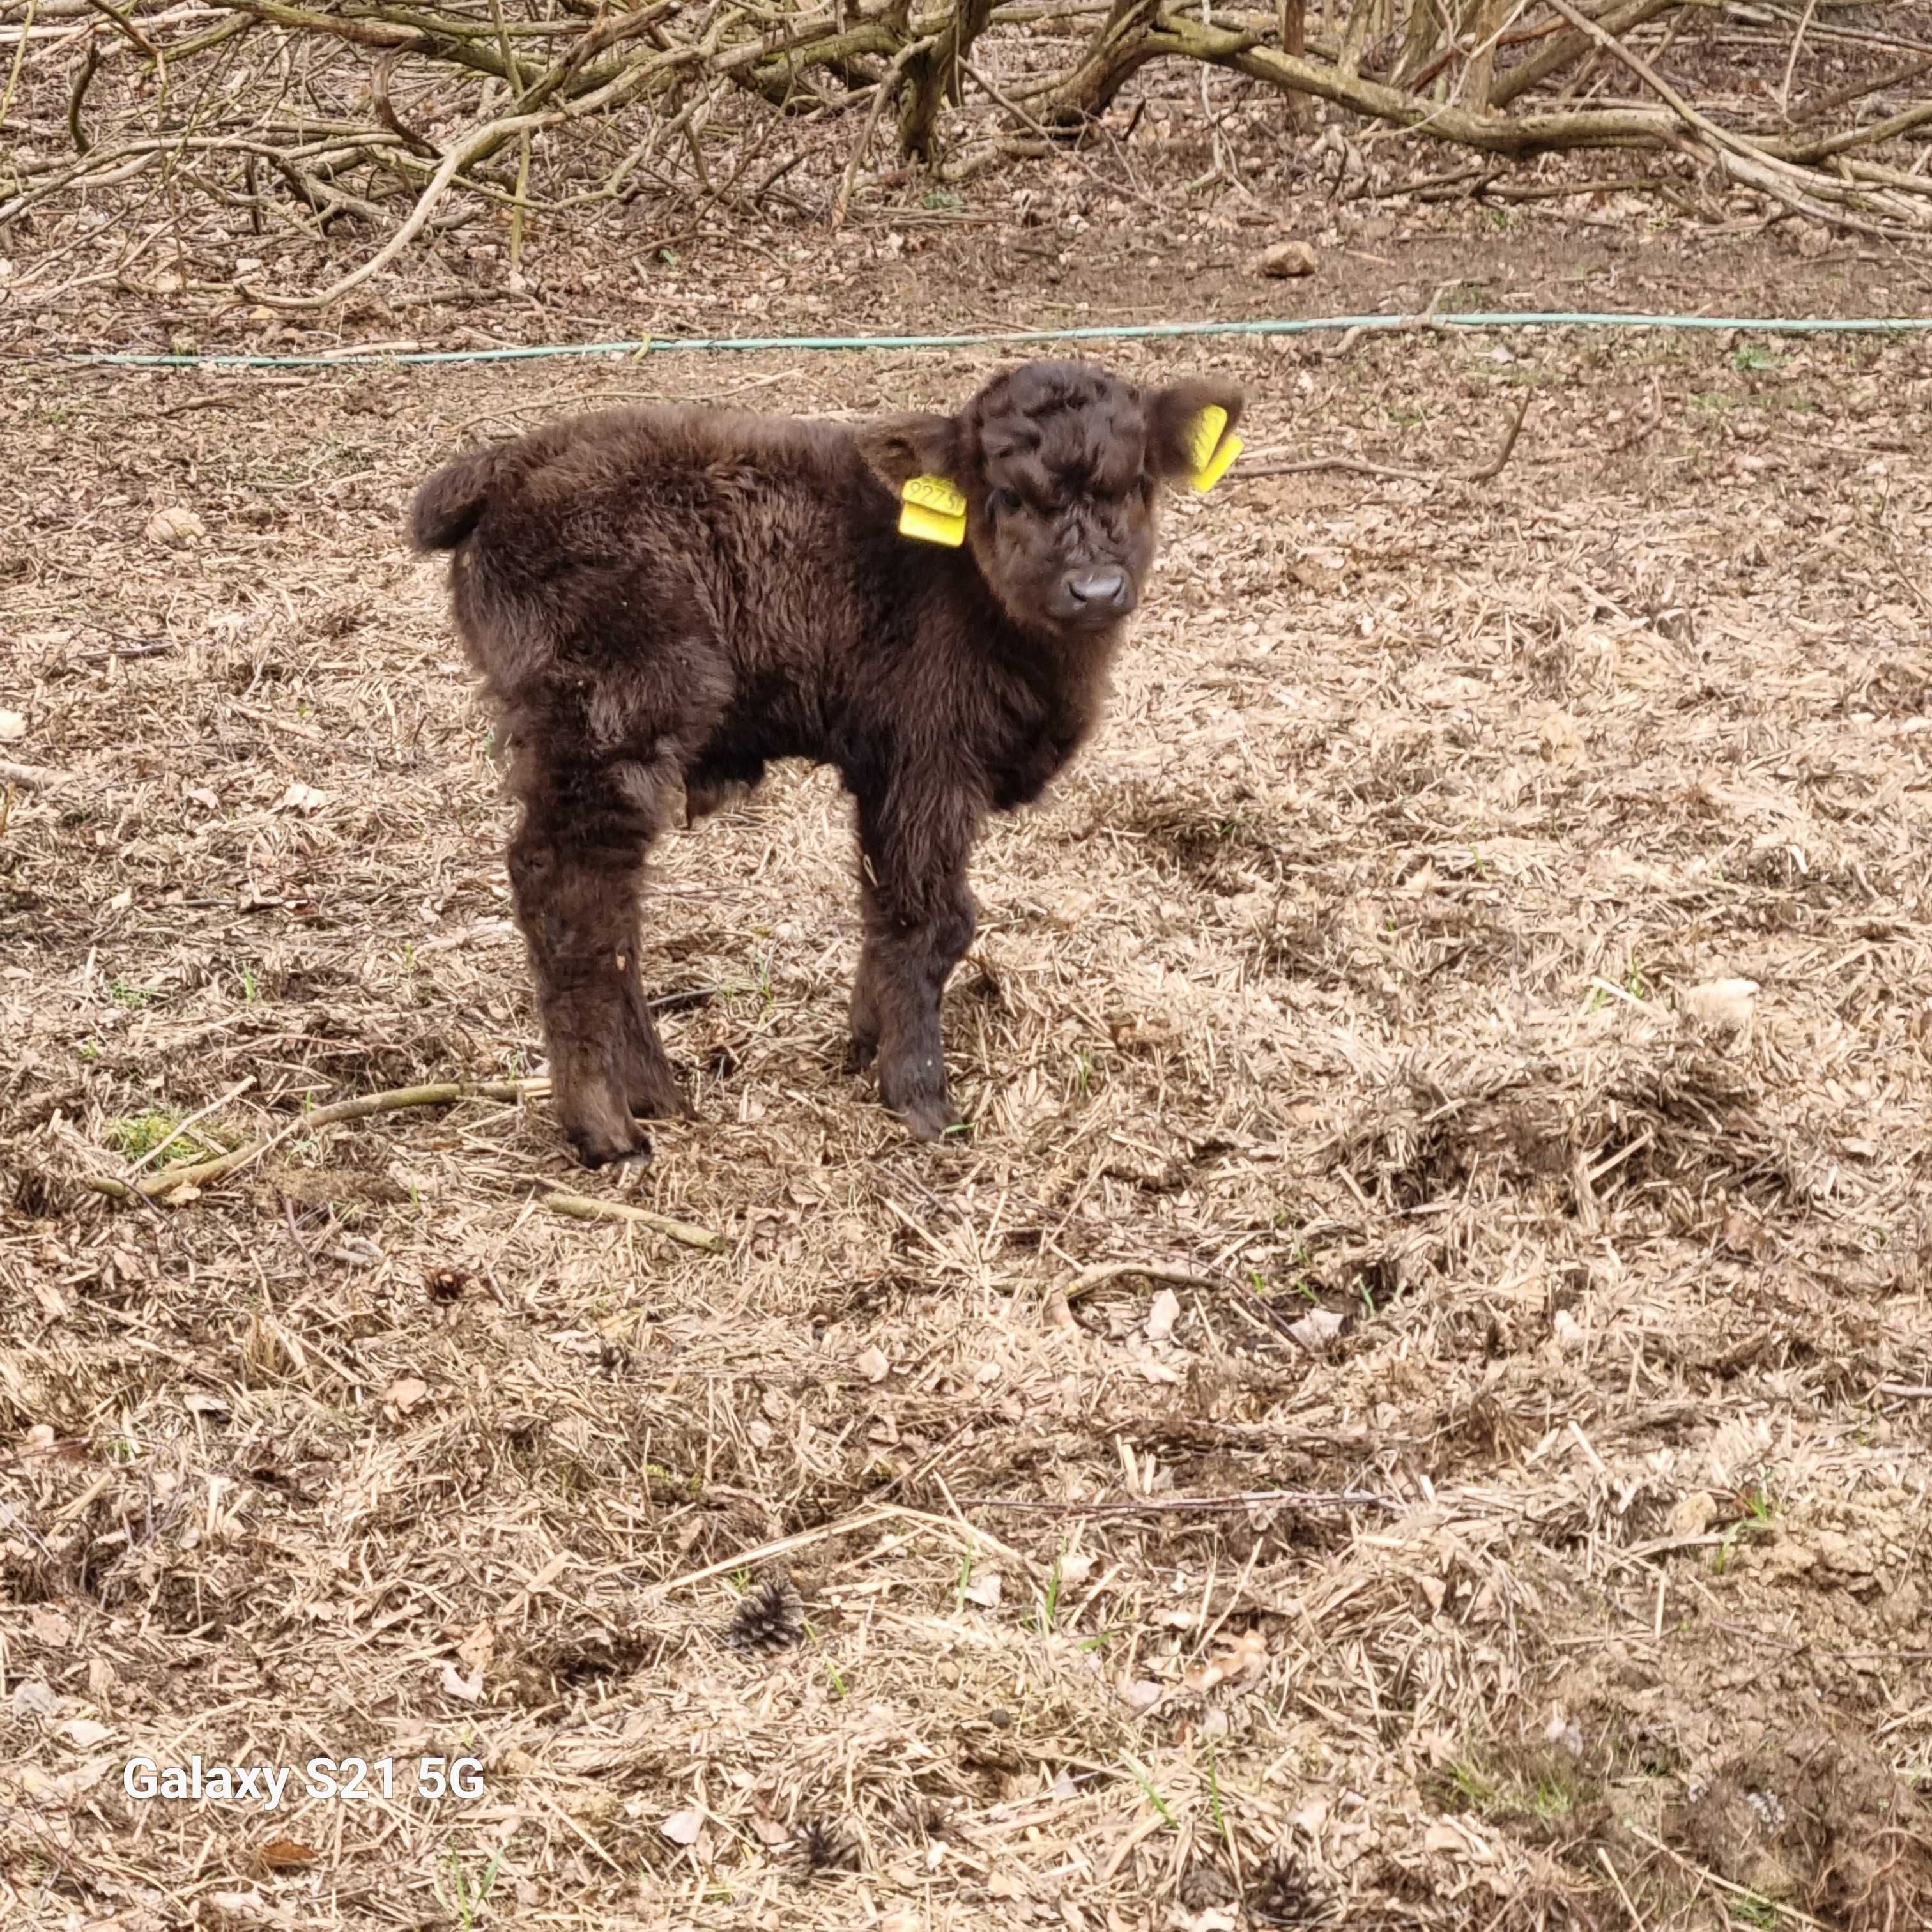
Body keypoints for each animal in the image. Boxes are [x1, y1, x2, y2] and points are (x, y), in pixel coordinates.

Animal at [413, 361, 1244, 1167]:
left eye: (1136, 483)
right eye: (1006, 494)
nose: (1094, 588)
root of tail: (510, 462)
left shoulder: (883, 772)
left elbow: (883, 907)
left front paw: (866, 1044)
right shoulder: (930, 763)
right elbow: (933, 917)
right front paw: (921, 1098)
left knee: (615, 909)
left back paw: (655, 1094)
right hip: (610, 723)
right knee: (572, 896)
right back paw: (607, 1131)